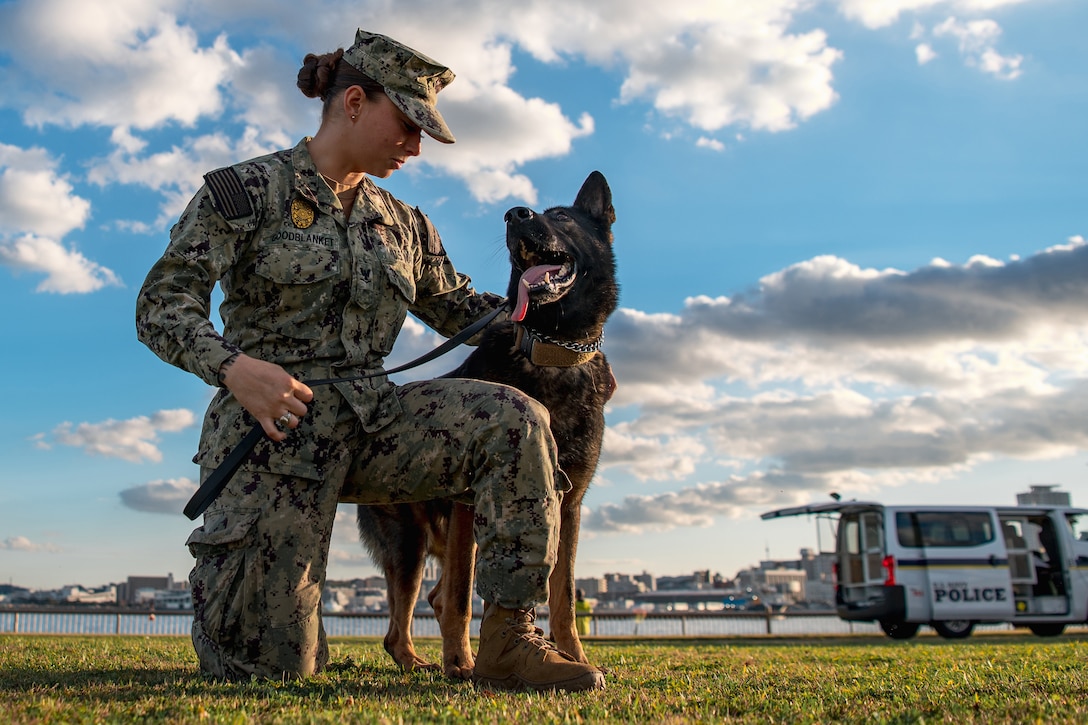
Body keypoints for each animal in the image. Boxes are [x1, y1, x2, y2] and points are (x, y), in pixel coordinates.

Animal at [359, 170, 622, 679]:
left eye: (562, 217)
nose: (515, 214)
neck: (551, 350)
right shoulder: (466, 505)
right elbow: (463, 594)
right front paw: (462, 663)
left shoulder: (569, 505)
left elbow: (563, 594)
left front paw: (574, 657)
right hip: (410, 545)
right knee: (405, 619)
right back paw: (422, 661)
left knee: (433, 599)